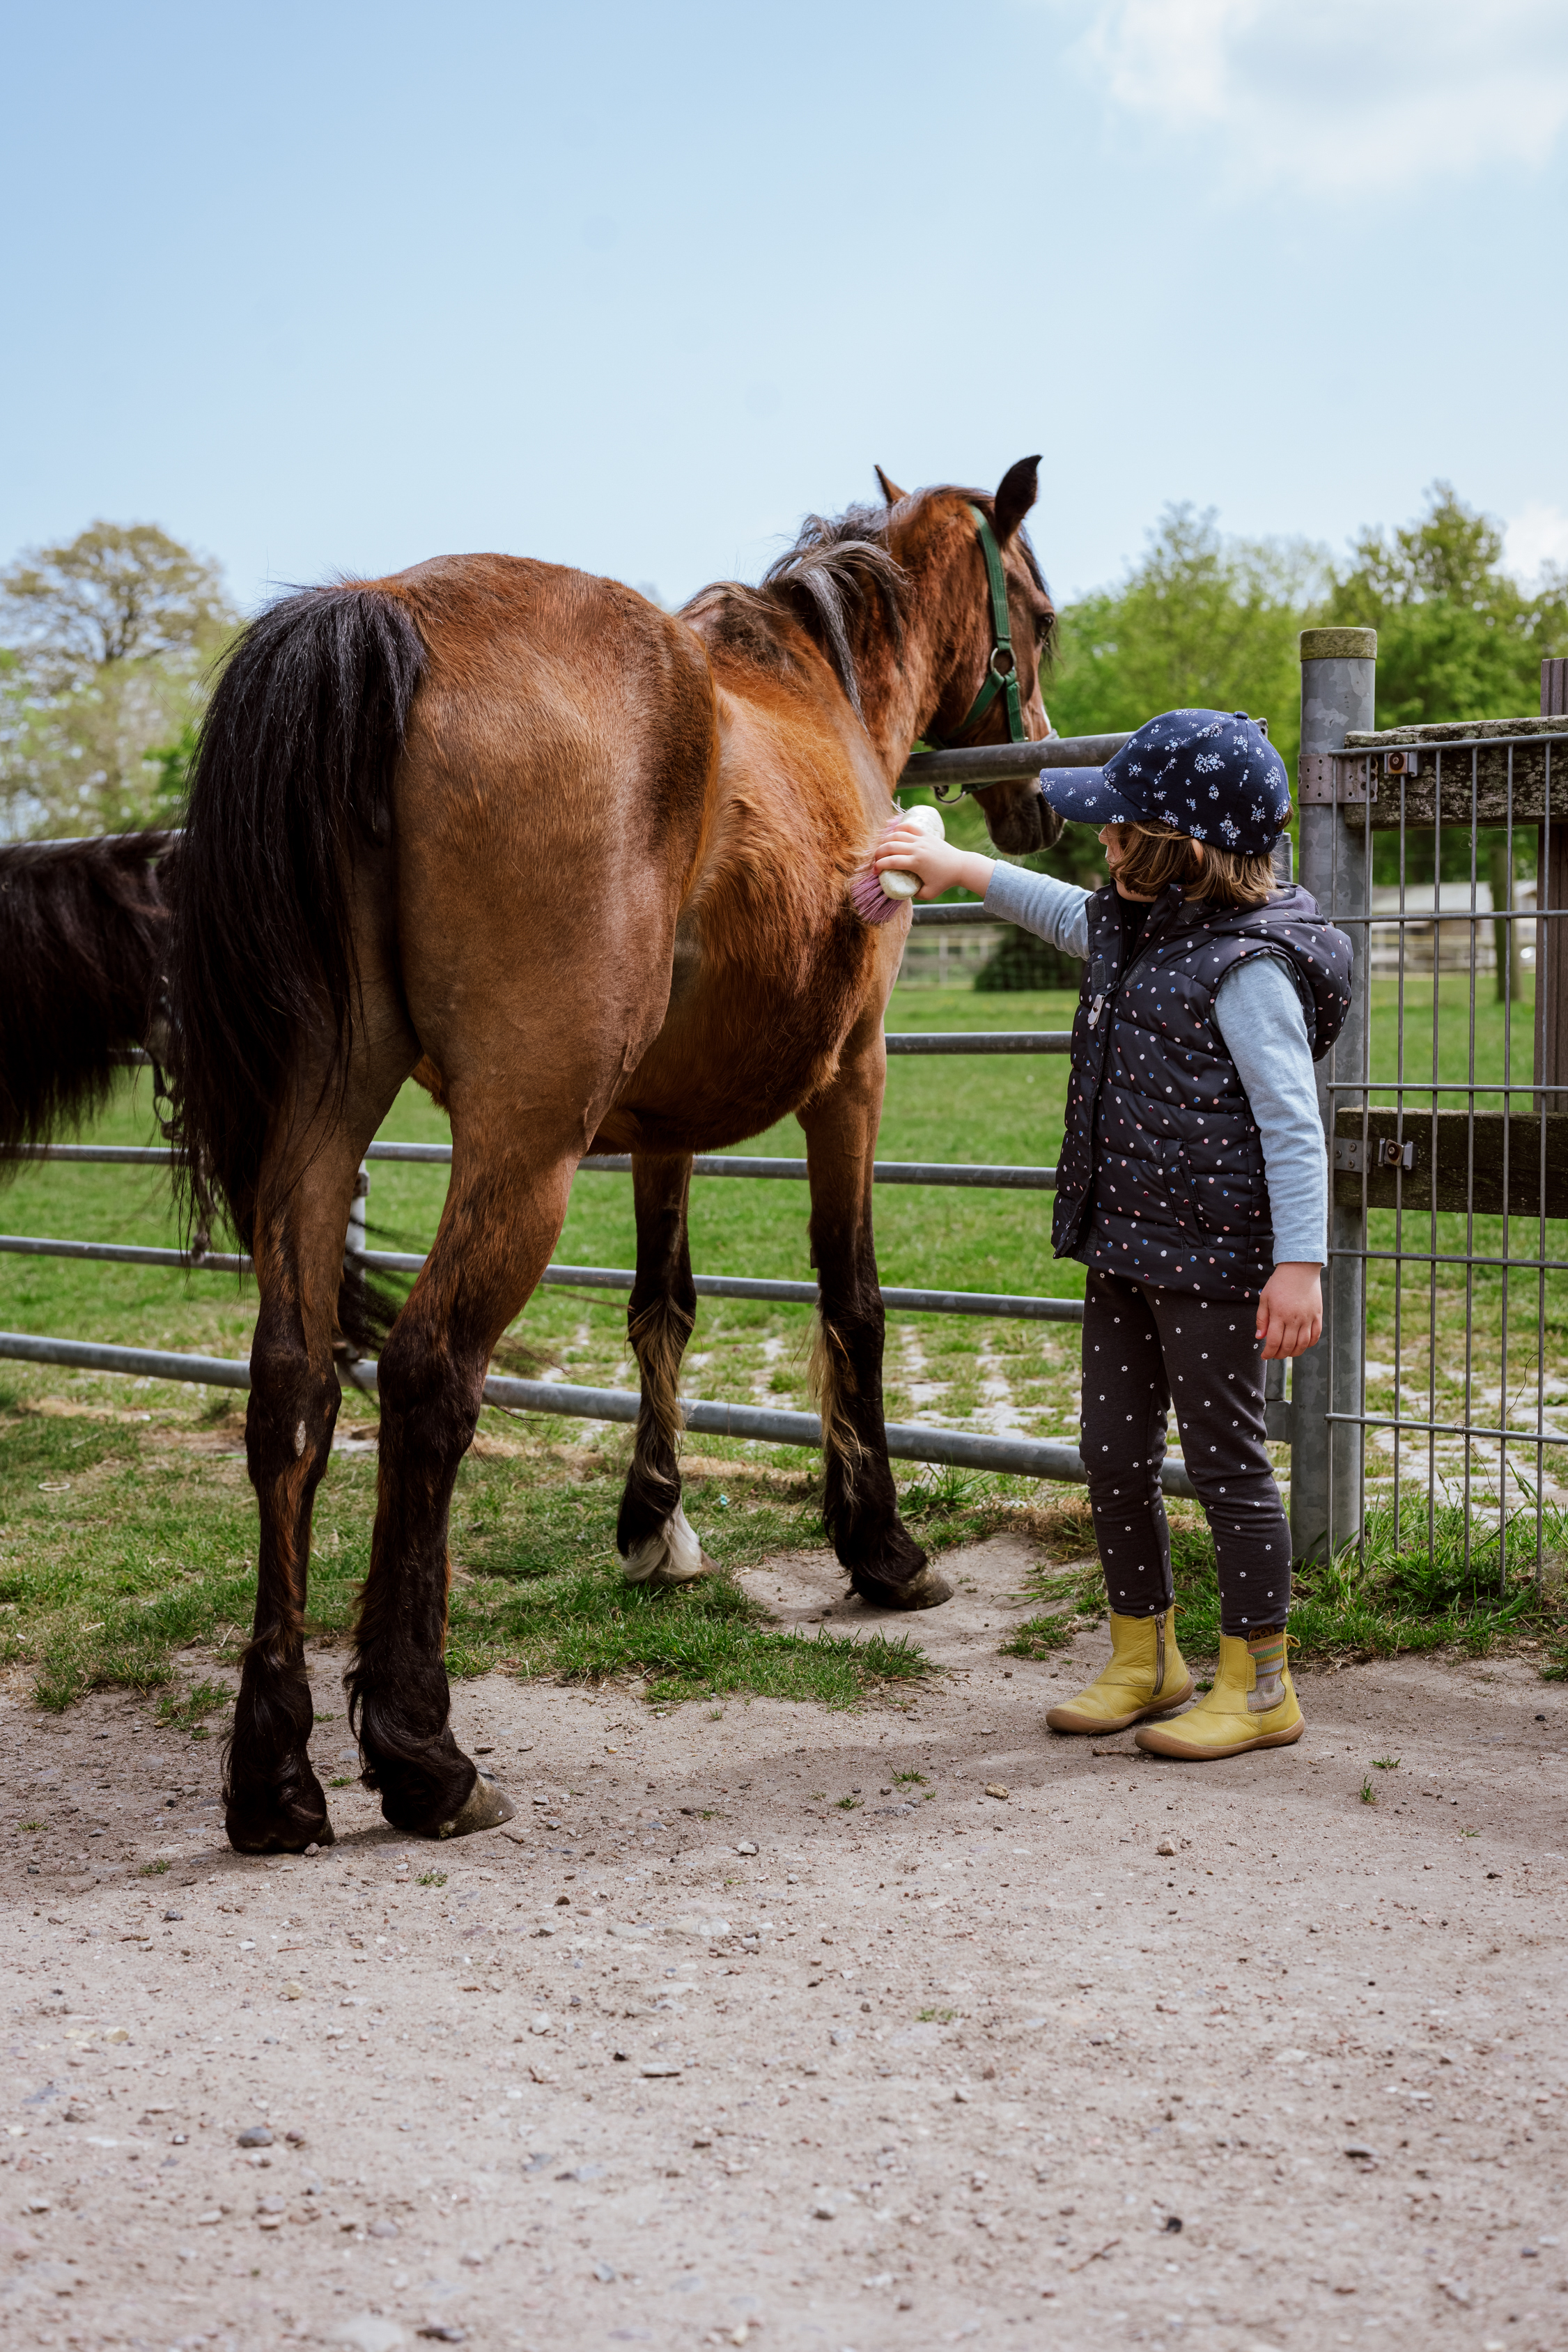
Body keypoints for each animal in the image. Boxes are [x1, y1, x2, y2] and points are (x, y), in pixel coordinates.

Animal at [147, 457, 1063, 1855]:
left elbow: (661, 1307)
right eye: (1042, 616)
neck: (816, 685)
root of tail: (384, 615)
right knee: (426, 1373)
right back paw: (423, 1754)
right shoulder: (854, 1077)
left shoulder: (658, 1128)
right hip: (526, 1141)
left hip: (327, 1117)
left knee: (292, 1389)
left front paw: (653, 1526)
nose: (1037, 799)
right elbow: (851, 1301)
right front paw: (880, 1549)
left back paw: (275, 1777)